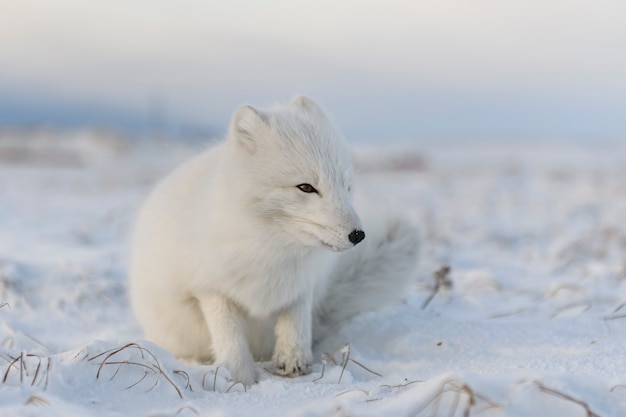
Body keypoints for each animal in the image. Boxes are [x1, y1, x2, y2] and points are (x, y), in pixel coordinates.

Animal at [129, 96, 416, 384]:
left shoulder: (301, 284)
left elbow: (296, 321)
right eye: (306, 187)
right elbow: (229, 336)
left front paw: (294, 361)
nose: (358, 235)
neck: (271, 249)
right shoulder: (211, 289)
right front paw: (239, 378)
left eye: (346, 186)